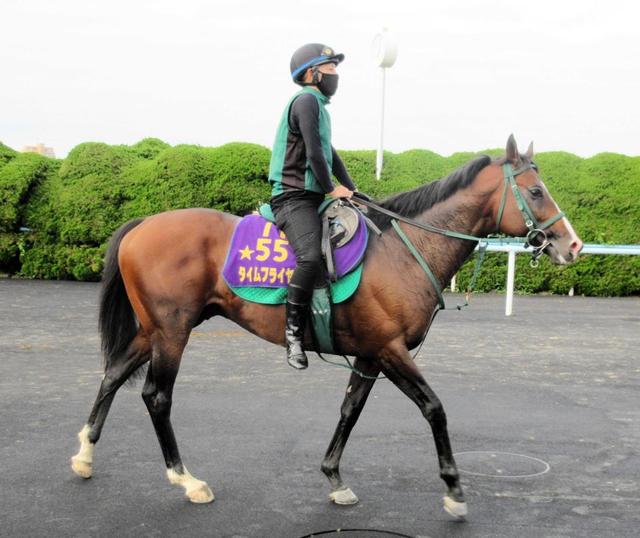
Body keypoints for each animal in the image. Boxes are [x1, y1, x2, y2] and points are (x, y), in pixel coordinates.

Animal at [70, 135, 582, 518]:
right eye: (536, 192)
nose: (572, 244)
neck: (402, 251)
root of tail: (141, 225)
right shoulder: (390, 350)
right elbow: (434, 408)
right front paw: (454, 490)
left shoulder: (370, 355)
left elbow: (349, 411)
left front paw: (334, 477)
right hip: (173, 333)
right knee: (156, 397)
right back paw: (186, 479)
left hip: (153, 331)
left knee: (113, 374)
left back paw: (85, 455)